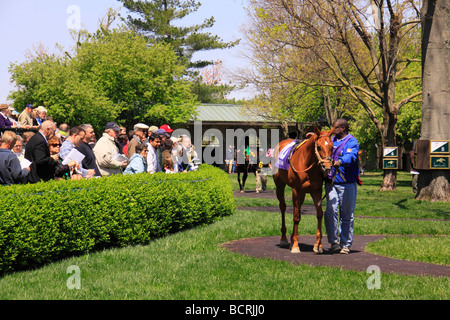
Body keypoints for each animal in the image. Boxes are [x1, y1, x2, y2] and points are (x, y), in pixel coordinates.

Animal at [272, 126, 332, 254]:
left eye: (332, 146)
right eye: (319, 147)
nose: (327, 167)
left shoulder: (316, 191)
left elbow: (319, 214)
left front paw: (318, 245)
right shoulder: (296, 190)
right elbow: (296, 216)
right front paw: (295, 245)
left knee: (298, 208)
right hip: (279, 185)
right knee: (283, 207)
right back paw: (284, 239)